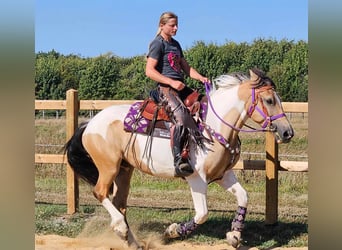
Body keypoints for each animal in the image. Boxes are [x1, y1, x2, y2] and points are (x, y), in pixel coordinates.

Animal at [65, 67, 294, 249]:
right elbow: (202, 214)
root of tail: (89, 123)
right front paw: (173, 231)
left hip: (124, 170)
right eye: (269, 100)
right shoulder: (197, 179)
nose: (287, 133)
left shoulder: (223, 175)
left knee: (119, 202)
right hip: (109, 167)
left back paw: (133, 242)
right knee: (100, 193)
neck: (213, 126)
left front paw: (234, 235)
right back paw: (121, 228)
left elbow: (243, 197)